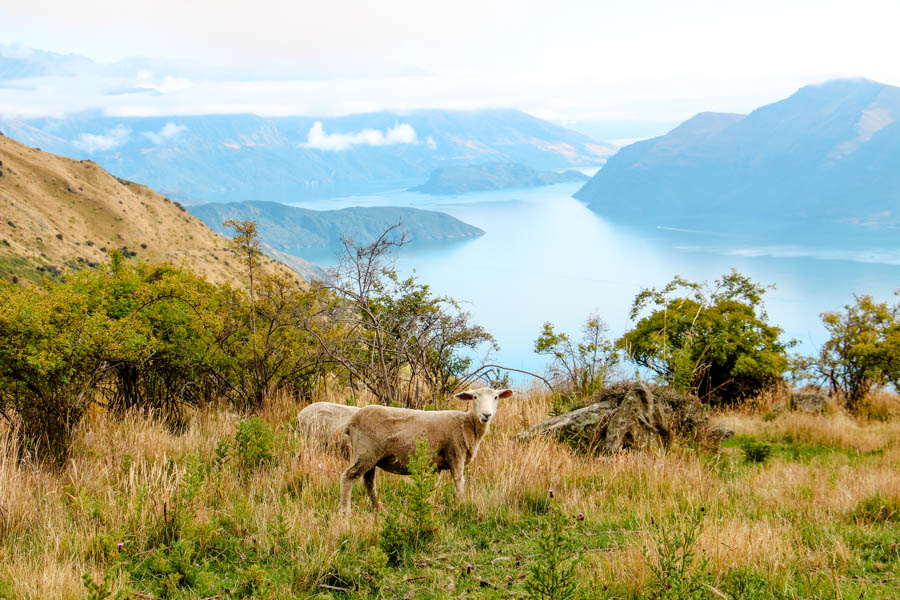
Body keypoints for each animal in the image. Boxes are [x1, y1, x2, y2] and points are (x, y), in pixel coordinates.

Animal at [338, 387, 514, 513]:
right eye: (475, 397)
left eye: (496, 397)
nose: (486, 414)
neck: (468, 424)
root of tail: (351, 422)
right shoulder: (455, 453)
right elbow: (459, 481)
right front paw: (461, 505)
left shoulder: (436, 465)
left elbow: (432, 487)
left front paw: (428, 506)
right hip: (366, 452)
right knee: (349, 477)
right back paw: (345, 512)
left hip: (371, 456)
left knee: (369, 483)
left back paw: (378, 509)